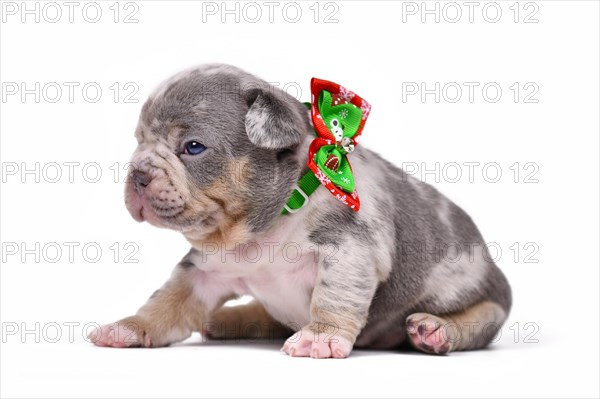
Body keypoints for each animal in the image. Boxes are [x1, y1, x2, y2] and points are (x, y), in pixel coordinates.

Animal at [89, 64, 510, 358]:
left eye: (193, 147)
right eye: (138, 142)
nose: (138, 173)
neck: (264, 229)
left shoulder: (349, 250)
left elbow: (334, 297)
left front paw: (318, 338)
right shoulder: (203, 272)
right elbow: (166, 301)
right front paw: (127, 327)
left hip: (484, 299)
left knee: (481, 319)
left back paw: (434, 330)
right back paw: (230, 319)